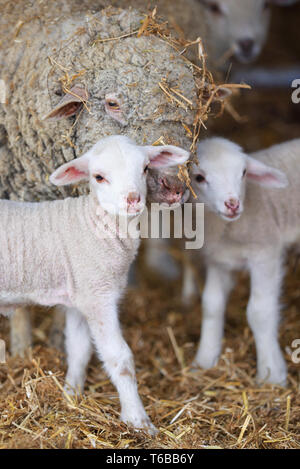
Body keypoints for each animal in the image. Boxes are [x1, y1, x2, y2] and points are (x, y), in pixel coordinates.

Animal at [0, 133, 189, 434]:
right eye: (98, 177)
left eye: (145, 168)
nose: (133, 199)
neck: (93, 224)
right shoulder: (98, 297)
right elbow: (119, 358)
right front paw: (138, 420)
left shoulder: (82, 296)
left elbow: (79, 350)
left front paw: (70, 395)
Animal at [185, 137, 300, 386]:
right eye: (199, 178)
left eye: (244, 172)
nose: (232, 204)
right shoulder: (220, 260)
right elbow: (211, 304)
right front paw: (204, 360)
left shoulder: (265, 253)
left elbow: (259, 312)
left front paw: (271, 374)